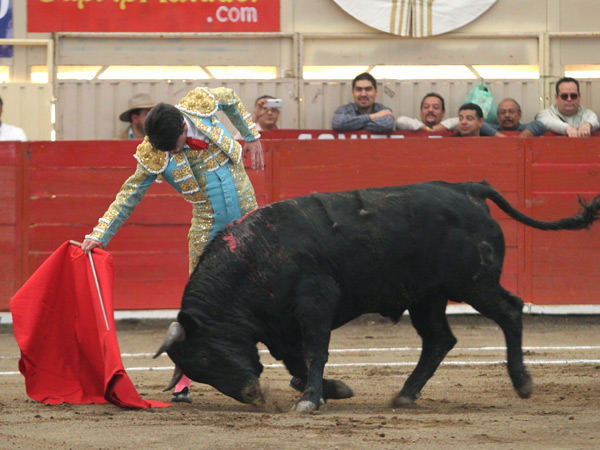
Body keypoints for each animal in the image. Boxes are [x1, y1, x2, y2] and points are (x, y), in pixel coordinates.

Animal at [155, 181, 600, 414]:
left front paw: (311, 400)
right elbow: (299, 364)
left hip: (472, 284)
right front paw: (332, 390)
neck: (255, 257)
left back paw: (522, 381)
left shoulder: (315, 304)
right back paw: (405, 394)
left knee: (510, 310)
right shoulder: (281, 326)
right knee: (439, 339)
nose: (253, 396)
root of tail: (467, 189)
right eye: (199, 370)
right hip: (427, 297)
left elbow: (314, 354)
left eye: (207, 356)